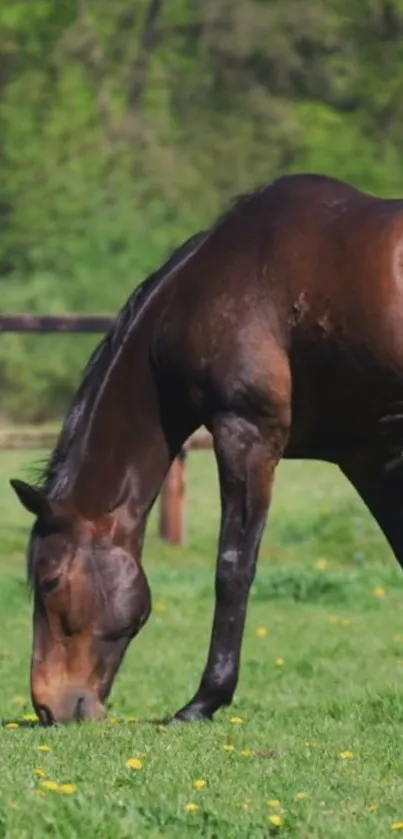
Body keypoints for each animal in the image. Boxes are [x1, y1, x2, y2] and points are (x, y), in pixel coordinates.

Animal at [9, 174, 403, 724]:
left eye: (48, 581)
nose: (49, 707)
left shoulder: (246, 433)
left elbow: (232, 568)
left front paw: (203, 700)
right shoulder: (365, 454)